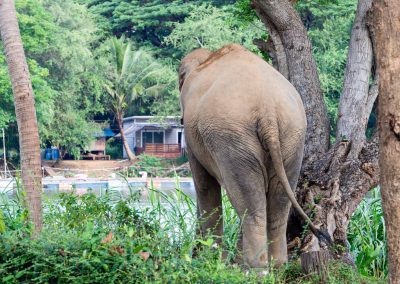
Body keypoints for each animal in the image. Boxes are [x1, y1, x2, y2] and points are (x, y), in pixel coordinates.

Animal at [180, 44, 330, 268]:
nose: (194, 253)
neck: (209, 56)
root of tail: (268, 111)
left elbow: (204, 185)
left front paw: (209, 261)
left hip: (234, 140)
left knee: (249, 207)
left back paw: (252, 269)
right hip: (292, 137)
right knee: (278, 204)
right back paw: (276, 267)